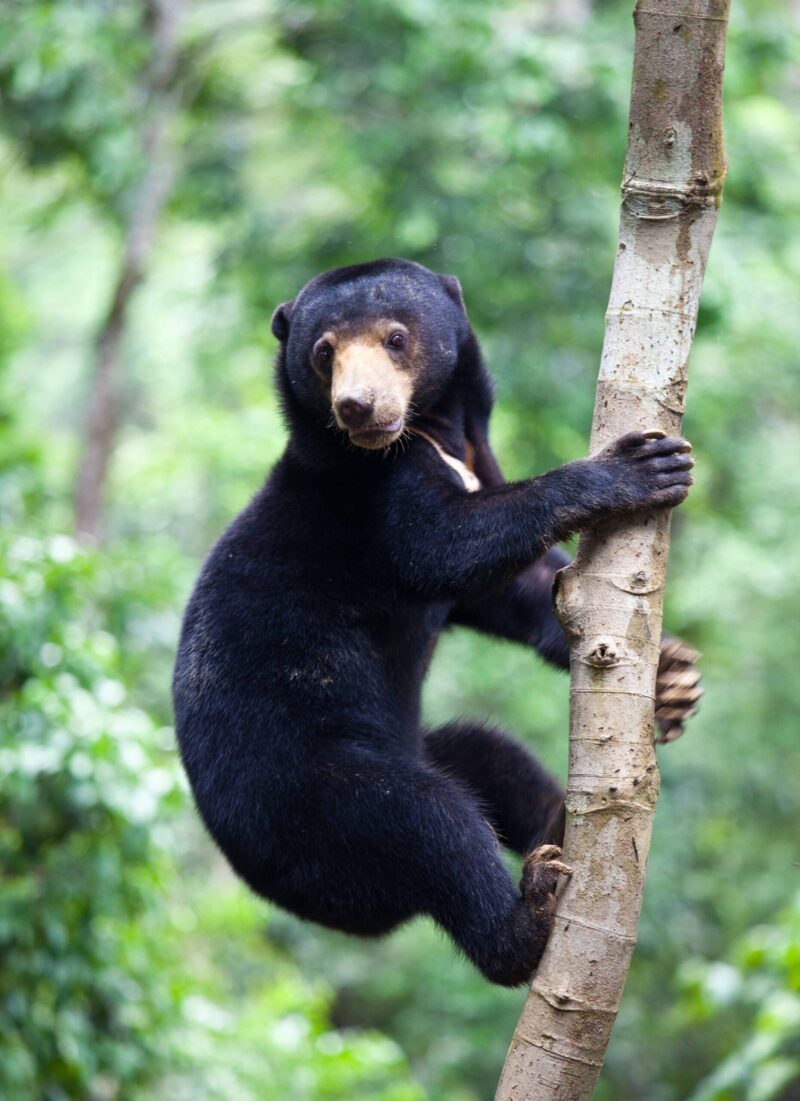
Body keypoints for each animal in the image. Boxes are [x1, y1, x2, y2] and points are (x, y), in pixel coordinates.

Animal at [172, 258, 700, 987]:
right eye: (323, 352)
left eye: (395, 338)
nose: (357, 407)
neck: (434, 435)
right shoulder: (371, 500)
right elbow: (446, 549)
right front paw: (642, 466)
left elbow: (520, 590)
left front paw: (675, 679)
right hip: (310, 799)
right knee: (427, 824)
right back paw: (527, 917)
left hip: (412, 751)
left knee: (482, 752)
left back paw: (559, 824)